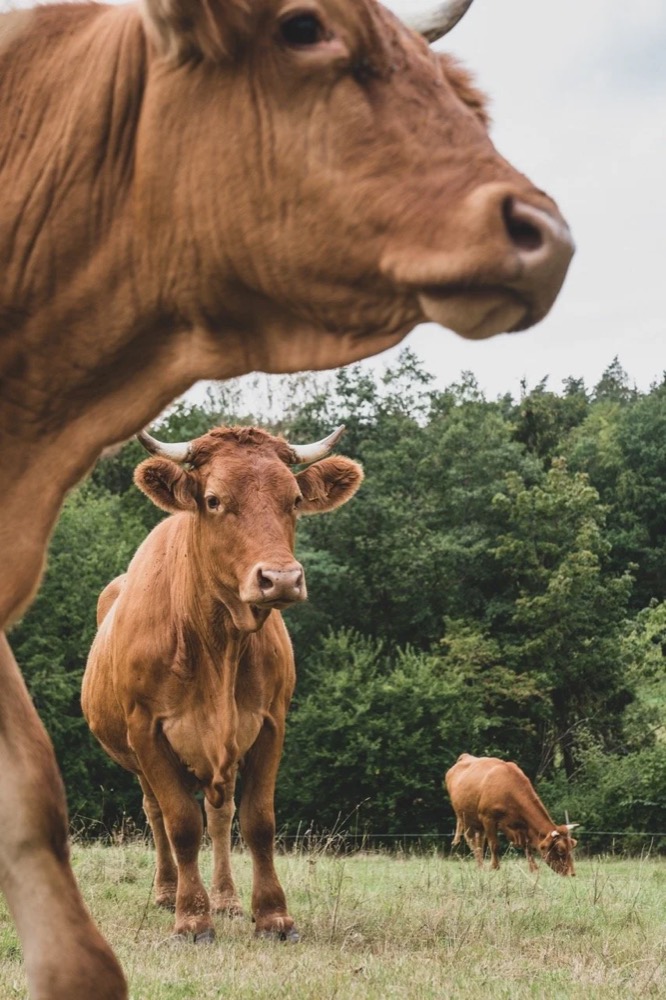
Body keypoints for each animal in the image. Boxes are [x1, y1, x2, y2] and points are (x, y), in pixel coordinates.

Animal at [81, 424, 363, 943]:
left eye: (294, 499)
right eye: (213, 500)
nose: (281, 578)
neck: (217, 640)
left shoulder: (269, 724)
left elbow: (257, 821)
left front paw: (272, 916)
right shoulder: (147, 730)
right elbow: (180, 823)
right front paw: (192, 918)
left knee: (220, 815)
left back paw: (228, 899)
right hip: (135, 756)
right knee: (157, 813)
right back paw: (167, 892)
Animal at [445, 754, 578, 875]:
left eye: (572, 846)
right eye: (560, 850)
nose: (571, 873)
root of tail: (465, 756)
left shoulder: (523, 825)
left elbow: (527, 846)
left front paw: (534, 869)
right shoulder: (488, 819)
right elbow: (494, 844)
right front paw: (495, 867)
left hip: (477, 823)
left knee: (479, 841)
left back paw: (480, 865)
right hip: (465, 817)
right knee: (471, 839)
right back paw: (481, 866)